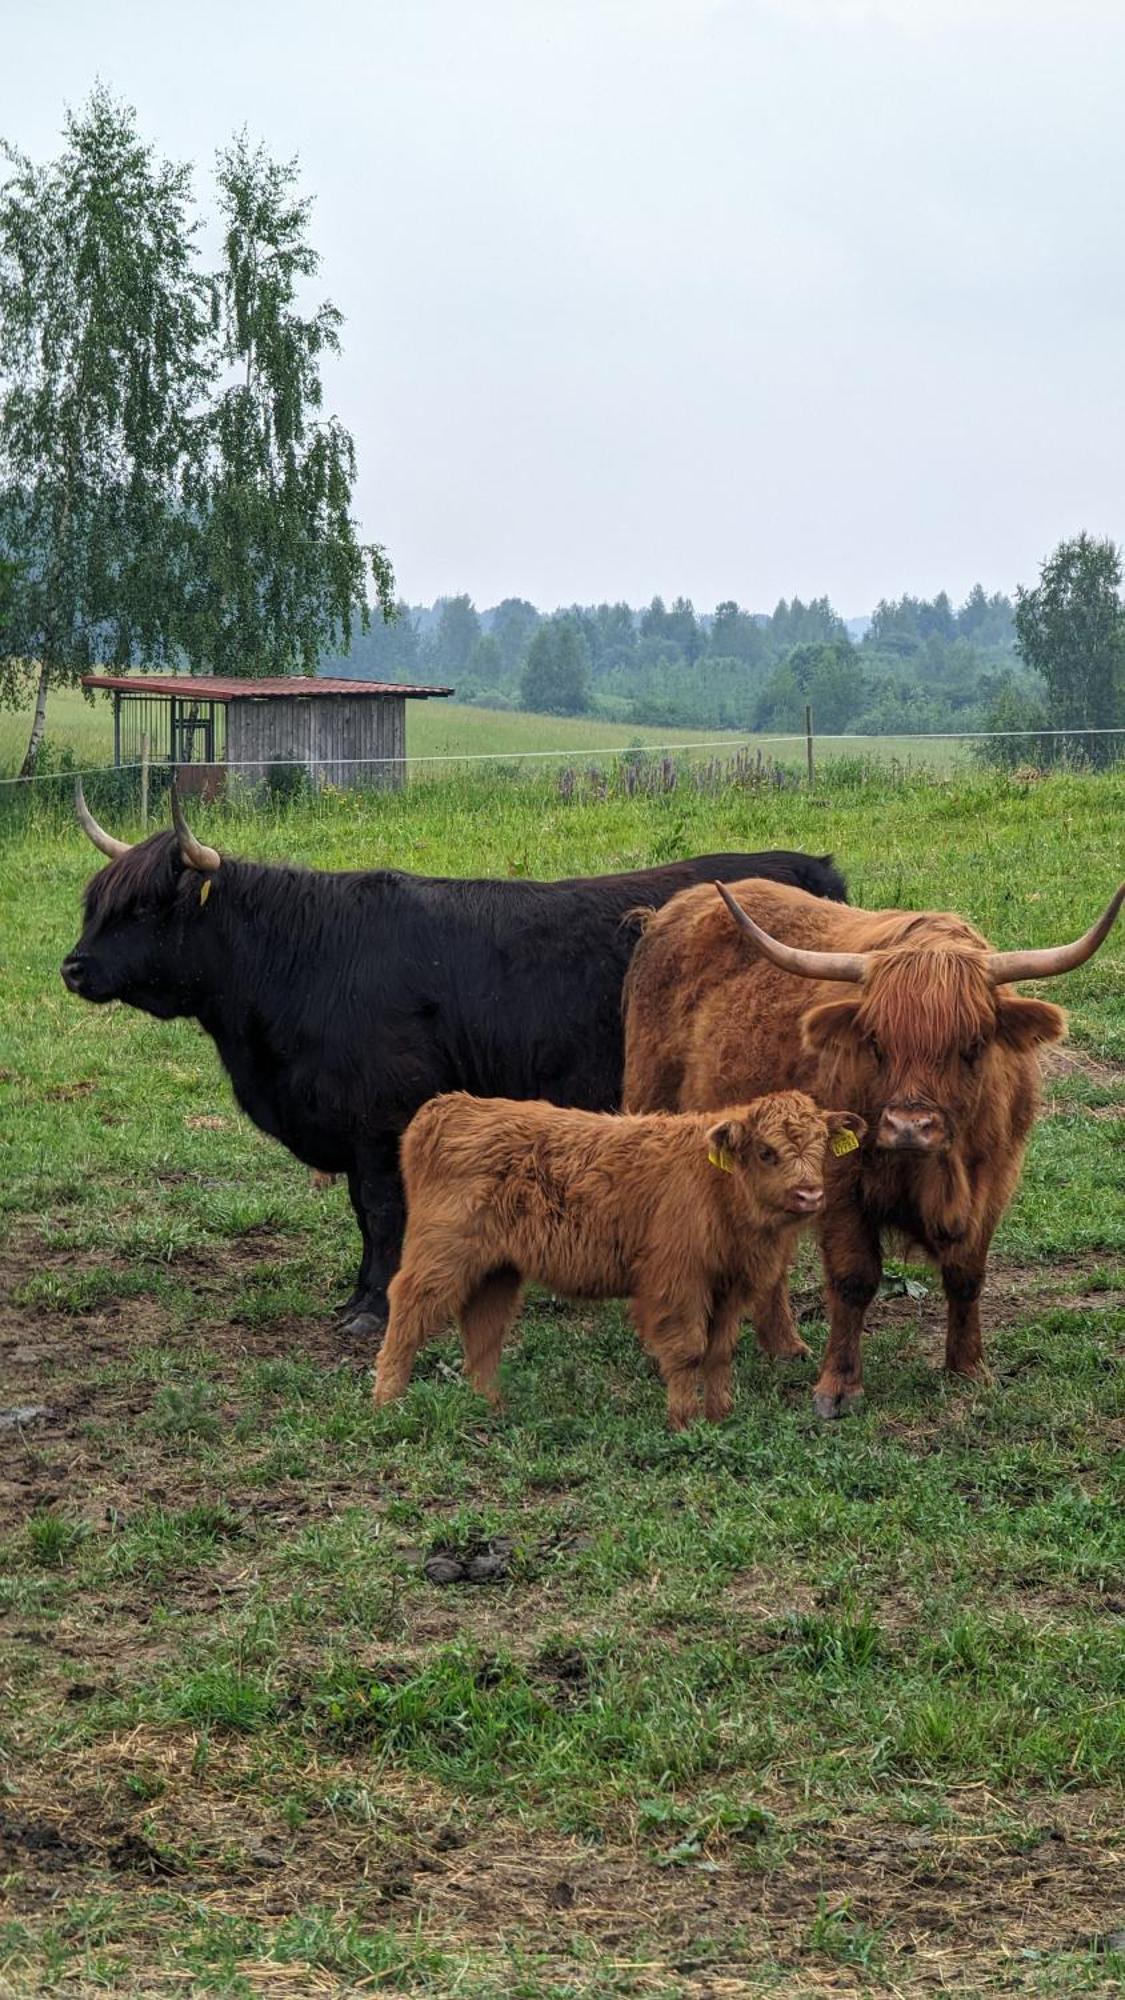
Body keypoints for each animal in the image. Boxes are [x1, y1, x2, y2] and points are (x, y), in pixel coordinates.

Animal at [368, 1088, 856, 1432]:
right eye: (767, 1152)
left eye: (820, 1148)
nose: (810, 1194)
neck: (718, 1188)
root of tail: (449, 1107)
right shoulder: (677, 1284)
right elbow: (687, 1351)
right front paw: (684, 1421)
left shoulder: (730, 1287)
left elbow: (718, 1352)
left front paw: (720, 1415)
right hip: (441, 1257)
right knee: (408, 1312)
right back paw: (388, 1401)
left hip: (496, 1270)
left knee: (483, 1329)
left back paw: (489, 1406)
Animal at [620, 880, 1120, 1424]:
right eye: (877, 1042)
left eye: (973, 1043)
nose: (909, 1127)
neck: (933, 1172)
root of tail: (676, 908)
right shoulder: (839, 1184)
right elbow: (854, 1280)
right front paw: (838, 1386)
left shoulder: (995, 1180)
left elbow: (967, 1275)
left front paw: (968, 1368)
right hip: (651, 1101)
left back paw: (783, 1346)